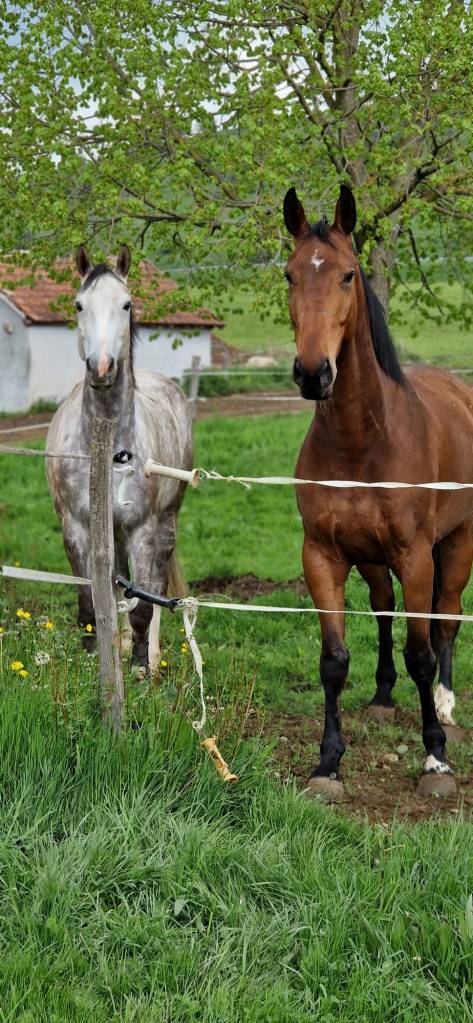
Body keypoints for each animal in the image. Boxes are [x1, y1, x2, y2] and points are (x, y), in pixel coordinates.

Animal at [46, 245, 193, 672]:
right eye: (79, 305)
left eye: (126, 304)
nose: (102, 367)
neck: (108, 450)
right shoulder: (77, 529)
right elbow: (91, 604)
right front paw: (94, 658)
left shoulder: (142, 529)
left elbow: (143, 603)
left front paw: (141, 665)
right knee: (117, 588)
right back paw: (123, 644)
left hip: (165, 522)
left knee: (155, 587)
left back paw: (150, 655)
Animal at [283, 183, 473, 802]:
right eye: (290, 274)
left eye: (347, 275)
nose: (313, 373)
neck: (362, 440)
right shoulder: (322, 555)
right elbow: (334, 660)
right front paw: (327, 763)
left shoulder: (415, 555)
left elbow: (422, 651)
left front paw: (434, 758)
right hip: (370, 559)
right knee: (386, 610)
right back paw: (385, 696)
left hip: (455, 547)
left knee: (445, 620)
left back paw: (446, 708)